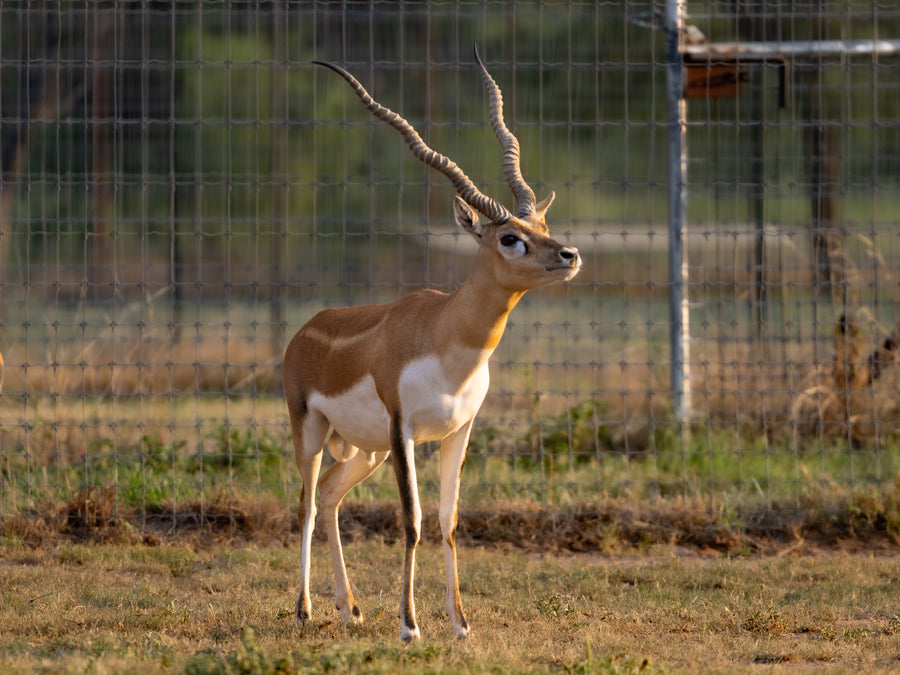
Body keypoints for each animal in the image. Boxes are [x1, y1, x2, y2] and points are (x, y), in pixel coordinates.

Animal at [284, 46, 581, 641]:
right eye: (509, 237)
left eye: (542, 224)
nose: (570, 255)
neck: (449, 344)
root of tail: (305, 329)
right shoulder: (403, 431)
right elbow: (413, 520)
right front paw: (410, 625)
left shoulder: (458, 430)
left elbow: (449, 521)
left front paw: (461, 624)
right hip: (312, 430)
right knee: (304, 503)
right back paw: (303, 609)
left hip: (364, 449)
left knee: (328, 495)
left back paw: (348, 608)